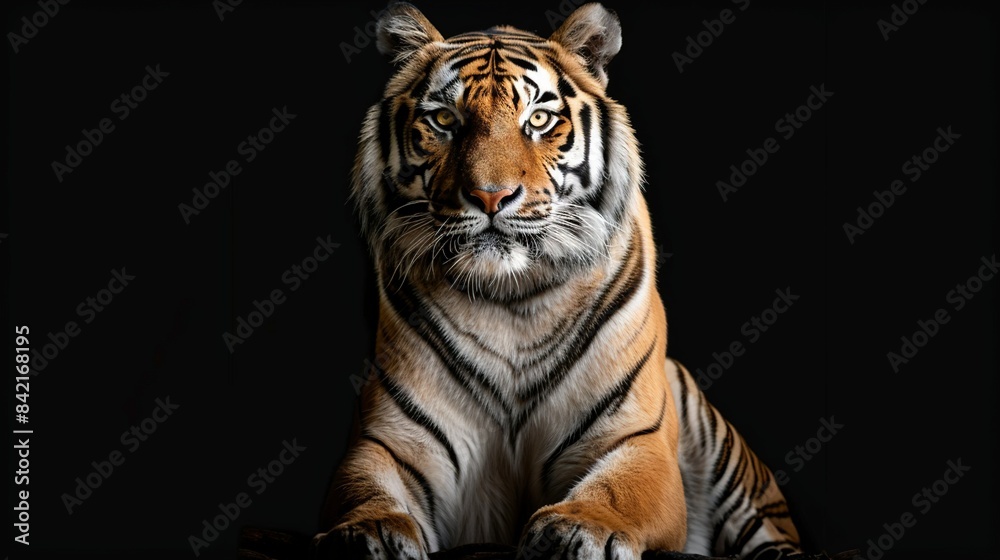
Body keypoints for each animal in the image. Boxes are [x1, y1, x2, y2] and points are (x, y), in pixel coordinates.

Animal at [312, 2, 803, 559]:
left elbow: (619, 490)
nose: (490, 196)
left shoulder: (634, 438)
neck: (511, 298)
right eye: (444, 120)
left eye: (539, 120)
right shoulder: (390, 440)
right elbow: (365, 488)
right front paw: (367, 531)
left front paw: (581, 527)